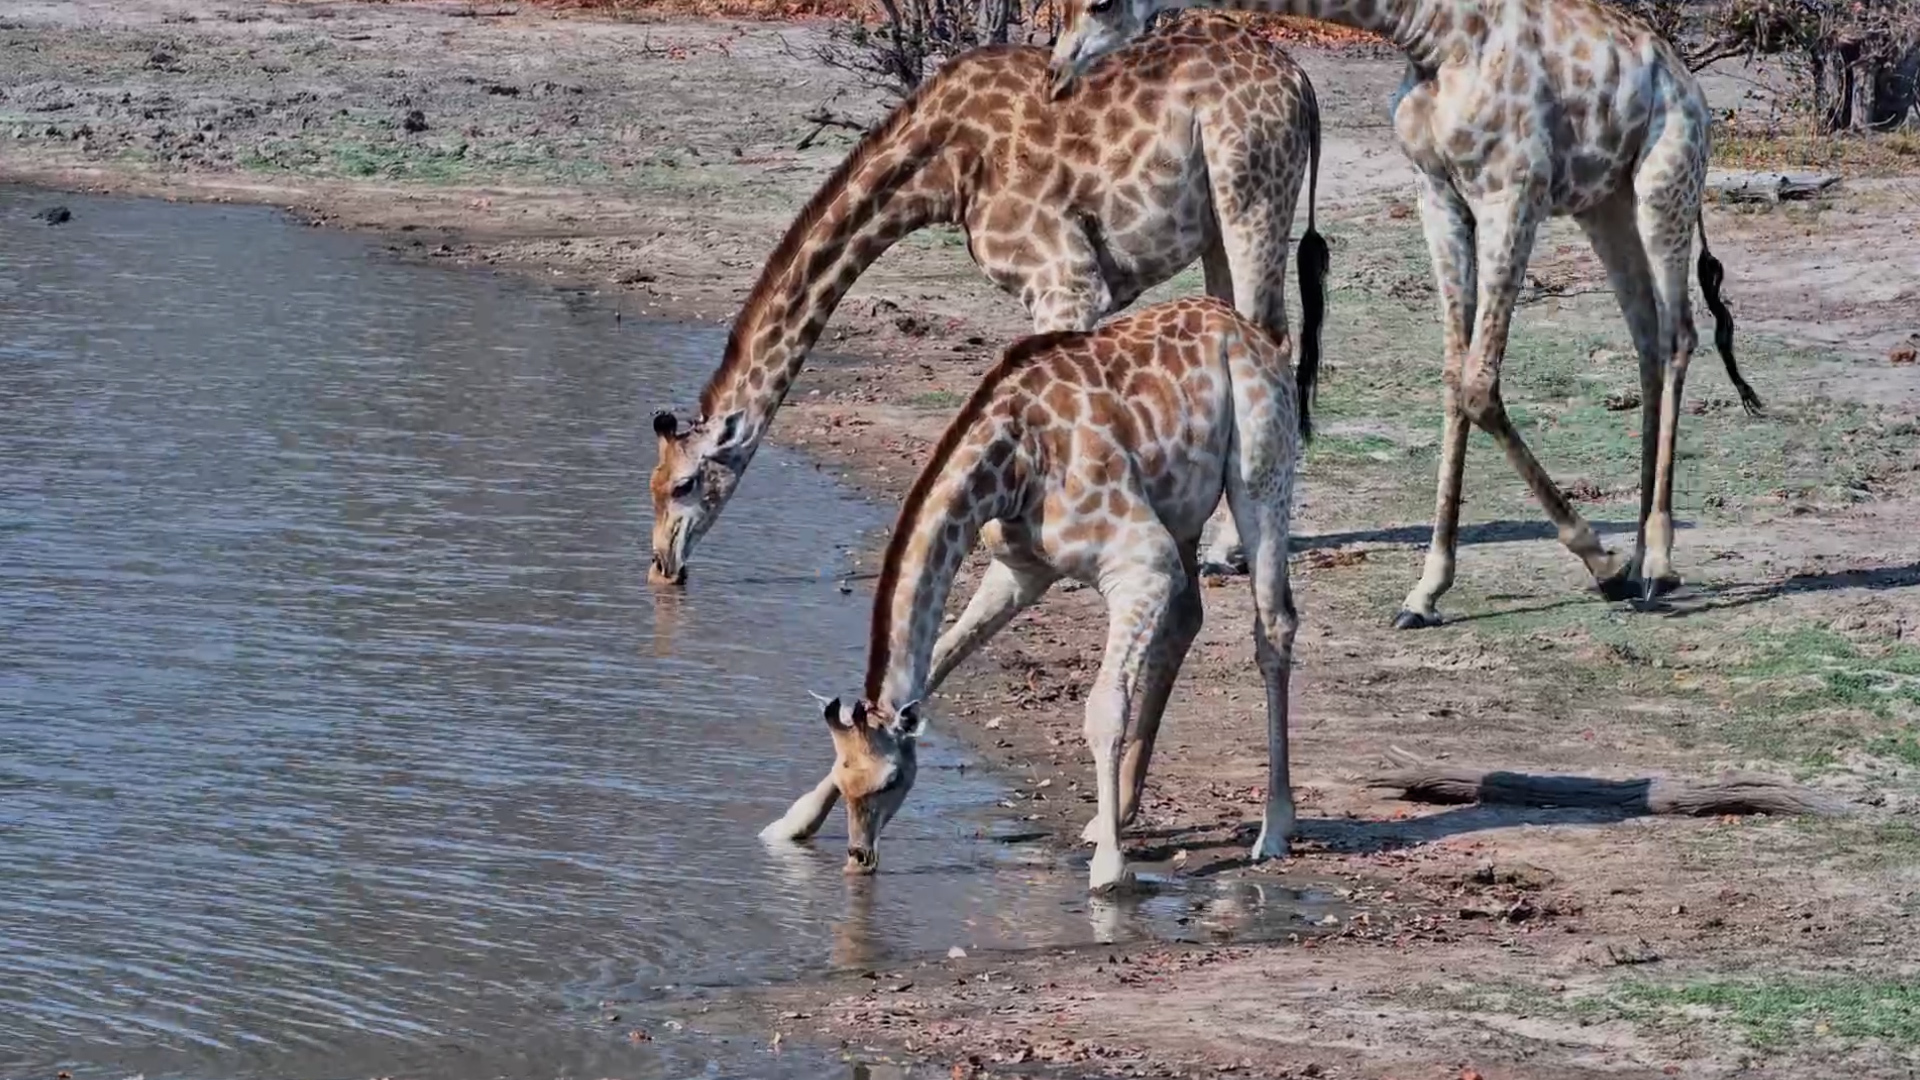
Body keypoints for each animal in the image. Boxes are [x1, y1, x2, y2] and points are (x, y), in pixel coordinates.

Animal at [649, 14, 1328, 586]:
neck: (942, 168)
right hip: (1217, 224)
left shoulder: (1066, 278)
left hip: (1251, 197)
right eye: (651, 485)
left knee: (1273, 337)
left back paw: (1227, 550)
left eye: (683, 484)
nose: (662, 565)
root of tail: (1301, 84)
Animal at [759, 297, 1302, 892]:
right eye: (844, 777)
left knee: (1273, 624)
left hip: (1259, 474)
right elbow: (937, 661)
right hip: (1179, 508)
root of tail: (1248, 332)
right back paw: (1118, 812)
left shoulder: (1141, 563)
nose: (859, 856)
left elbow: (1103, 707)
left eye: (893, 780)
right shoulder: (1019, 571)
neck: (1011, 465)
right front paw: (794, 821)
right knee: (1186, 620)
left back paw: (1274, 828)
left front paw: (1110, 869)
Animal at [1047, 0, 1763, 627]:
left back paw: (1655, 563)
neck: (1437, 35)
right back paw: (1642, 556)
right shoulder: (1438, 192)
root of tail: (1683, 75)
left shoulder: (1512, 193)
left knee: (1678, 336)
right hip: (1604, 203)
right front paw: (1427, 591)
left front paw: (1600, 563)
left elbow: (1478, 384)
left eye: (1101, 4)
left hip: (1664, 181)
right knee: (1646, 340)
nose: (1058, 74)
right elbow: (1454, 379)